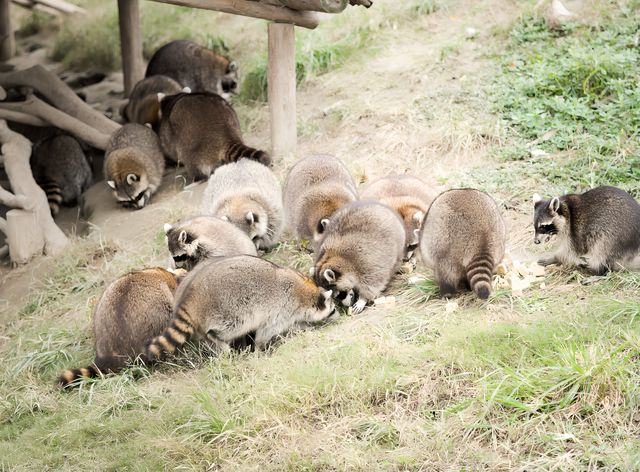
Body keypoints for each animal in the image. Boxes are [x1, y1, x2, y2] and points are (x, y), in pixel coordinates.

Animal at [144, 256, 336, 360]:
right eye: (333, 309)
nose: (338, 315)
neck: (306, 291)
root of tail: (192, 295)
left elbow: (294, 324)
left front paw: (304, 328)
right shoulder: (281, 308)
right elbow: (266, 330)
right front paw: (259, 348)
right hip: (228, 309)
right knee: (231, 327)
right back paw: (217, 338)